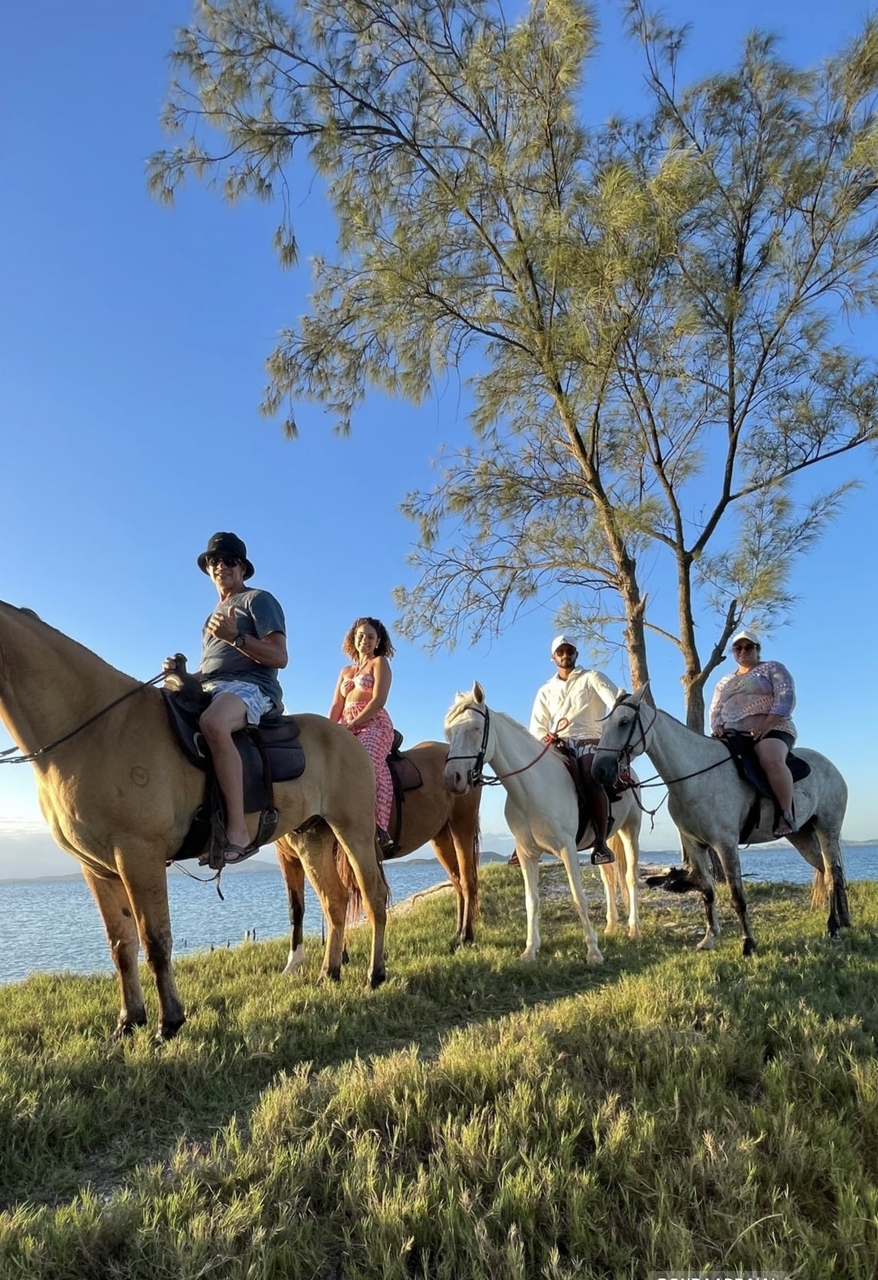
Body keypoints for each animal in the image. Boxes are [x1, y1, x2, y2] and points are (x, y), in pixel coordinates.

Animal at [0, 601, 389, 1039]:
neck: (97, 729)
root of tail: (348, 736)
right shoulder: (96, 868)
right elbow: (121, 945)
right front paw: (129, 1021)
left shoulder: (139, 857)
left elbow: (155, 941)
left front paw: (168, 1023)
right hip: (311, 837)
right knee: (334, 901)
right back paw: (329, 973)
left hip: (353, 831)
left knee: (373, 896)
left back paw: (375, 975)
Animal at [275, 742, 481, 967]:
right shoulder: (290, 857)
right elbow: (297, 908)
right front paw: (298, 962)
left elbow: (335, 900)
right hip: (441, 835)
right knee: (457, 880)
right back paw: (458, 931)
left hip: (463, 824)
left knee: (468, 880)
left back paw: (466, 936)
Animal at [442, 680, 642, 962]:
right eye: (449, 733)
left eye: (475, 728)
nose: (452, 778)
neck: (531, 789)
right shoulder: (527, 854)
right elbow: (531, 901)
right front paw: (530, 949)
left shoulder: (567, 849)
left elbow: (579, 897)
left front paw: (593, 951)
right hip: (603, 841)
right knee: (608, 877)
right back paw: (611, 925)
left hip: (630, 830)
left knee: (630, 877)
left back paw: (634, 929)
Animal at [591, 691, 854, 952]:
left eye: (624, 722)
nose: (599, 771)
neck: (695, 776)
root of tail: (832, 768)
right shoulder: (695, 846)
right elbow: (707, 892)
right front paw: (709, 938)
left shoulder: (725, 845)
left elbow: (737, 897)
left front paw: (748, 943)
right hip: (801, 837)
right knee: (830, 873)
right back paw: (844, 921)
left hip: (827, 831)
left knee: (832, 875)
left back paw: (833, 926)